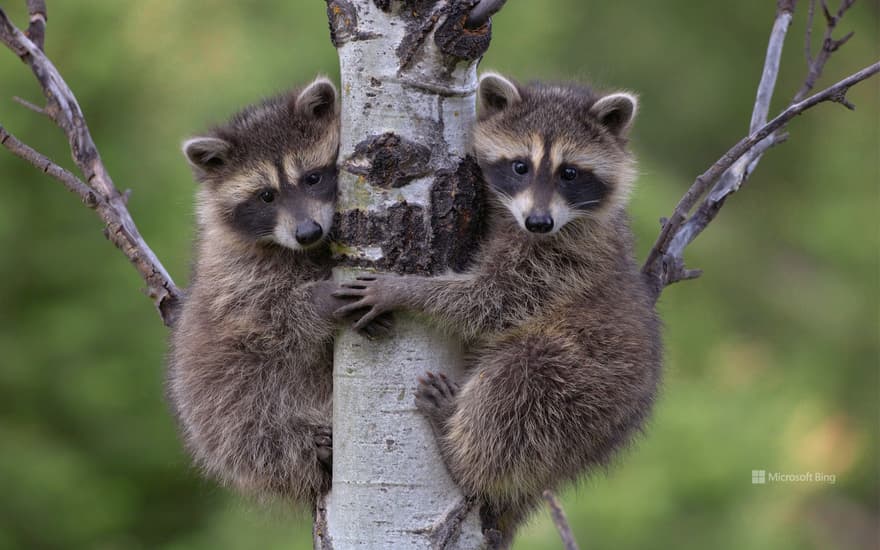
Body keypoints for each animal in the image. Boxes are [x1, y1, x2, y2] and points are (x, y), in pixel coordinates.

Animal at [168, 78, 372, 508]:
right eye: (266, 195)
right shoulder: (236, 277)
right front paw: (320, 299)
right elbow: (270, 319)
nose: (307, 232)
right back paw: (308, 447)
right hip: (219, 409)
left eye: (312, 178)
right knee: (256, 430)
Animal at [336, 72, 660, 544]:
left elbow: (491, 301)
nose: (539, 222)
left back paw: (459, 452)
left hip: (583, 388)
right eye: (520, 166)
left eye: (569, 173)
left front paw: (405, 289)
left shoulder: (561, 262)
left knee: (516, 386)